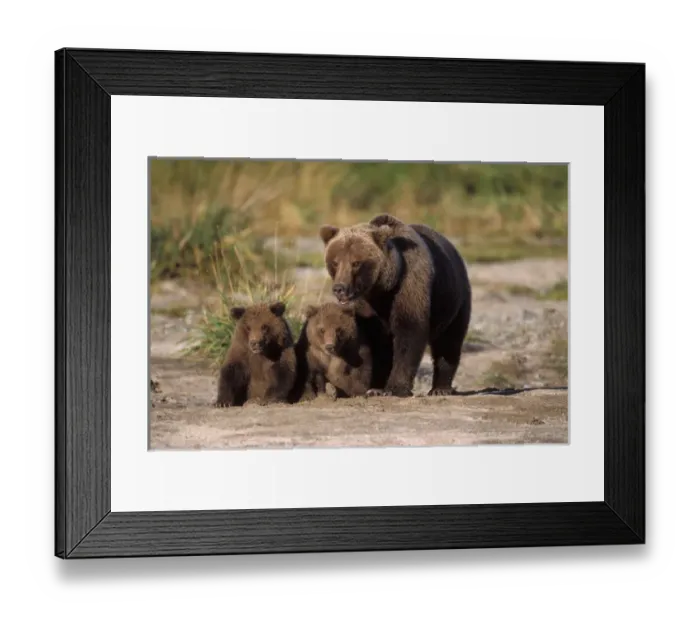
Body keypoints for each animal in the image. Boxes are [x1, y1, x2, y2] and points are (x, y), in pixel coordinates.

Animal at [319, 213, 472, 398]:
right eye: (335, 262)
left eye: (356, 263)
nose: (339, 288)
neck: (383, 289)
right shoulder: (366, 304)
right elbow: (374, 342)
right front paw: (375, 387)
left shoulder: (408, 287)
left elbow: (408, 334)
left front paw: (395, 387)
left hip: (453, 300)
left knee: (449, 341)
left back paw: (440, 388)